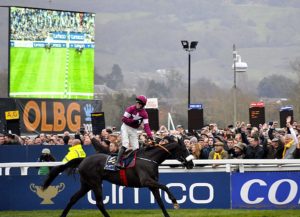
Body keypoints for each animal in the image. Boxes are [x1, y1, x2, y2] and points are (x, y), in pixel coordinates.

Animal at [43, 137, 195, 217]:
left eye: (189, 148)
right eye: (184, 149)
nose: (192, 163)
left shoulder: (152, 185)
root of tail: (84, 160)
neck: (149, 159)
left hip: (86, 184)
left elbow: (160, 202)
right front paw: (174, 201)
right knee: (99, 203)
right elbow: (165, 187)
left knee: (73, 198)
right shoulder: (146, 181)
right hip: (95, 183)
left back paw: (62, 215)